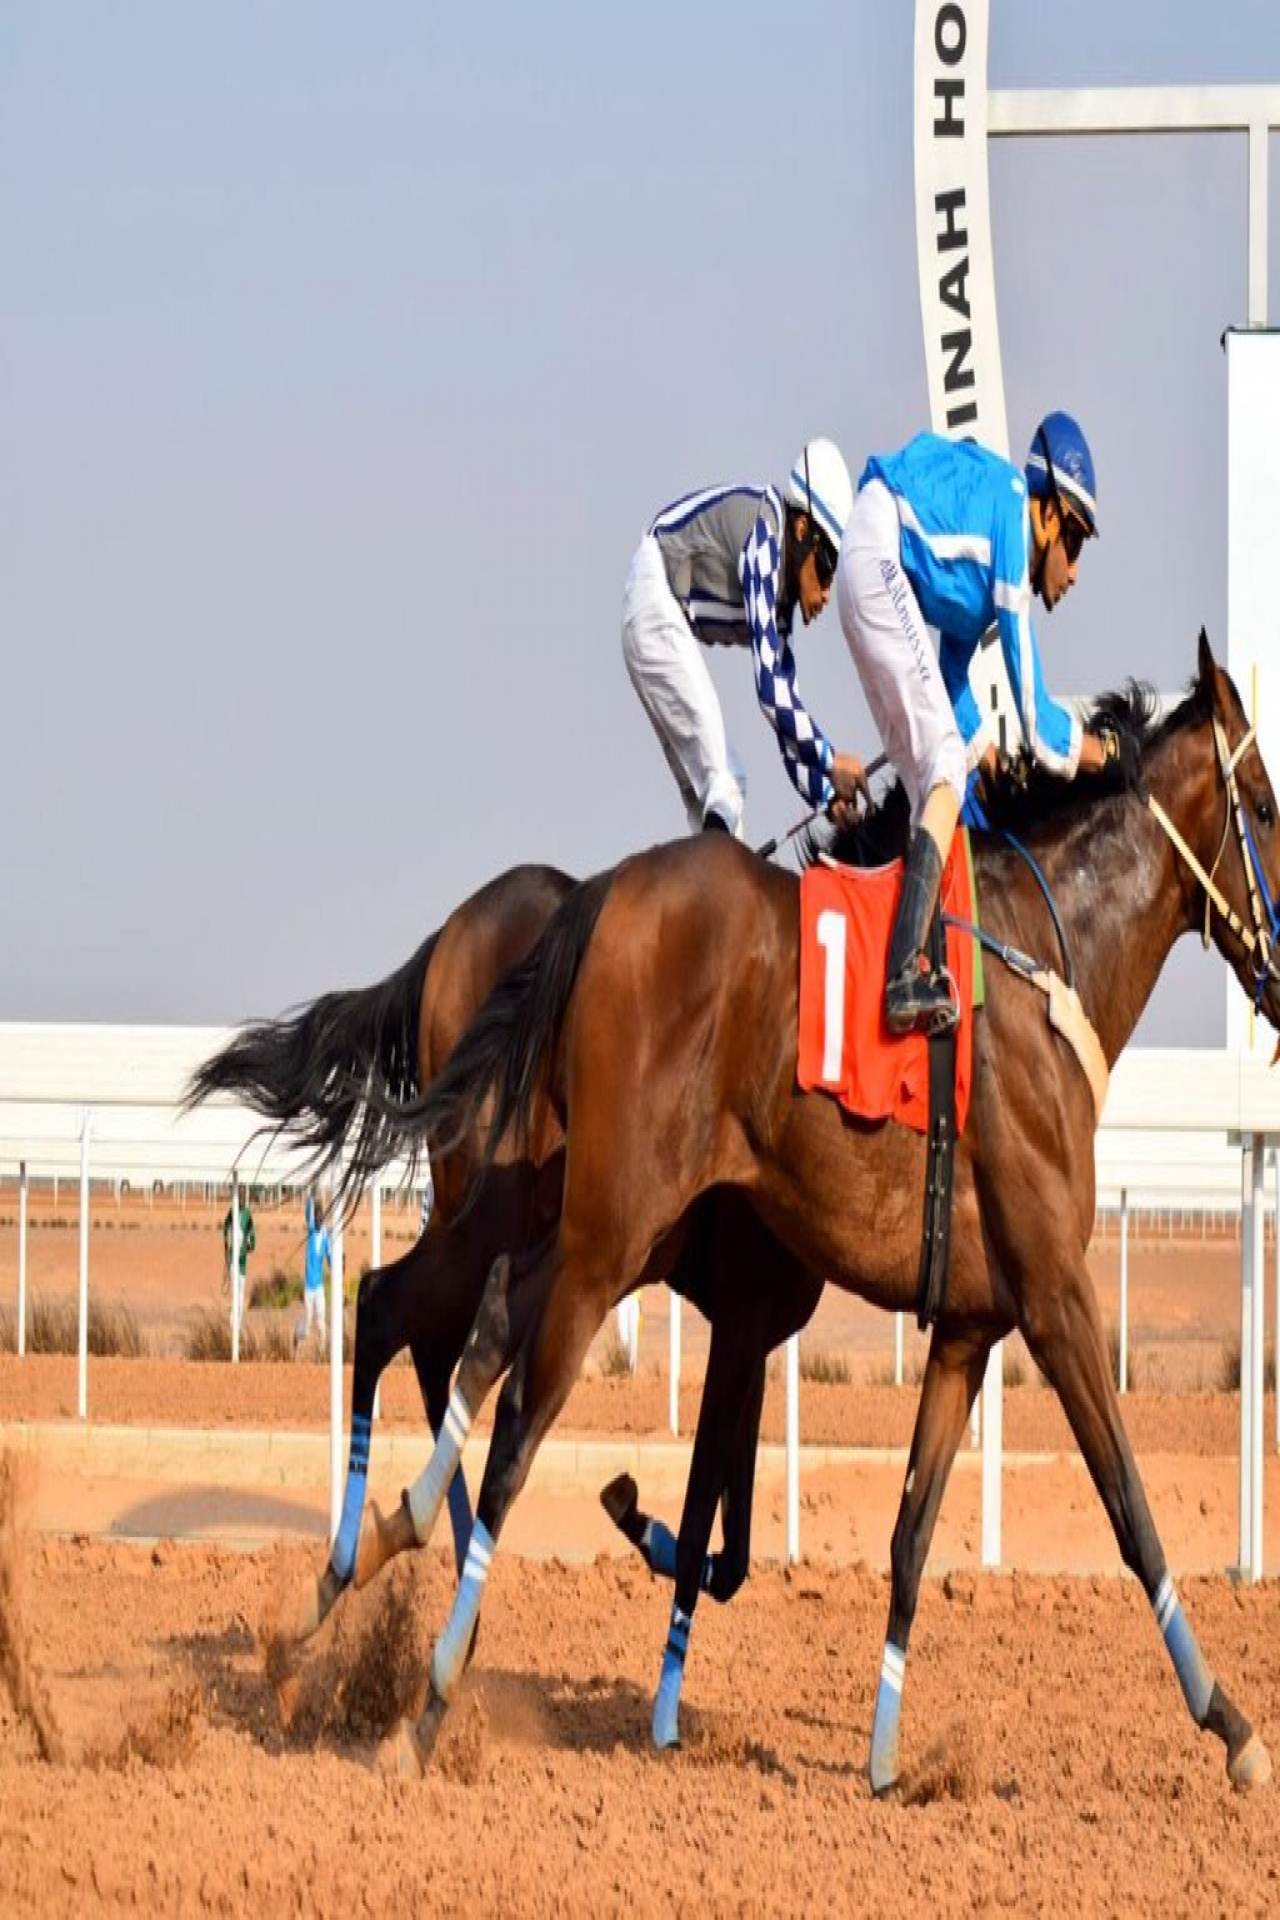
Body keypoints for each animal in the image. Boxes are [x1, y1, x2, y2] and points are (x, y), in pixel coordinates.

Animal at [187, 861, 824, 1730]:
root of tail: (448, 937)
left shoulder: (747, 1330)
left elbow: (733, 1542)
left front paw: (637, 1521)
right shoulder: (743, 1318)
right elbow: (705, 1524)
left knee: (425, 1336)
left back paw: (403, 1574)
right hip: (489, 1204)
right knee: (392, 1309)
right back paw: (364, 1569)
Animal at [374, 634, 1279, 1792]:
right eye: (1266, 806)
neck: (1044, 960)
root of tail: (601, 894)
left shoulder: (963, 1326)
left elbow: (906, 1534)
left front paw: (887, 1760)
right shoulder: (1052, 1296)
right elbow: (1129, 1507)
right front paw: (1233, 1727)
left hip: (588, 1225)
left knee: (478, 1326)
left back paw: (390, 1553)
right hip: (602, 1230)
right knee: (503, 1413)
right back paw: (425, 1693)